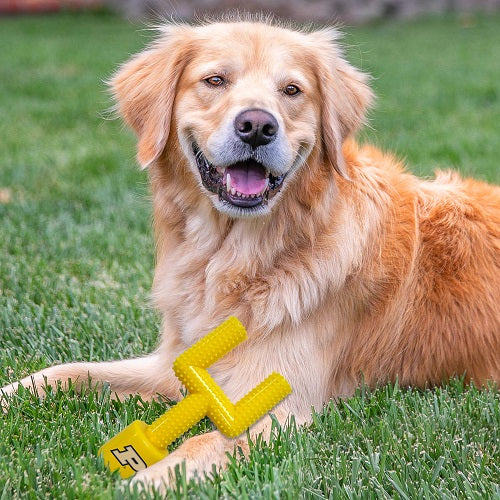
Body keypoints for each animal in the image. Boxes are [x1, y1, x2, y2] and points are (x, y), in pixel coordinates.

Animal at [1, 17, 498, 490]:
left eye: (292, 90)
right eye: (215, 80)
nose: (257, 125)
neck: (230, 257)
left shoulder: (277, 407)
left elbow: (198, 446)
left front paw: (139, 483)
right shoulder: (177, 366)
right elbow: (66, 372)